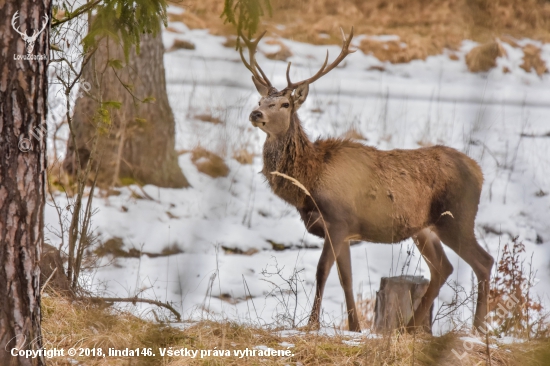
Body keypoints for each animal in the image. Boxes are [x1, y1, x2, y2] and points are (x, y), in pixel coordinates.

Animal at [239, 27, 498, 334]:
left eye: (284, 103)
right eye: (260, 101)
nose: (256, 114)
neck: (309, 181)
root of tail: (479, 172)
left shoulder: (338, 221)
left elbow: (322, 271)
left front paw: (311, 324)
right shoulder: (343, 231)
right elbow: (346, 278)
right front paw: (354, 327)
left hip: (457, 218)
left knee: (483, 261)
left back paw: (477, 328)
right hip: (425, 228)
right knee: (443, 267)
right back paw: (410, 327)